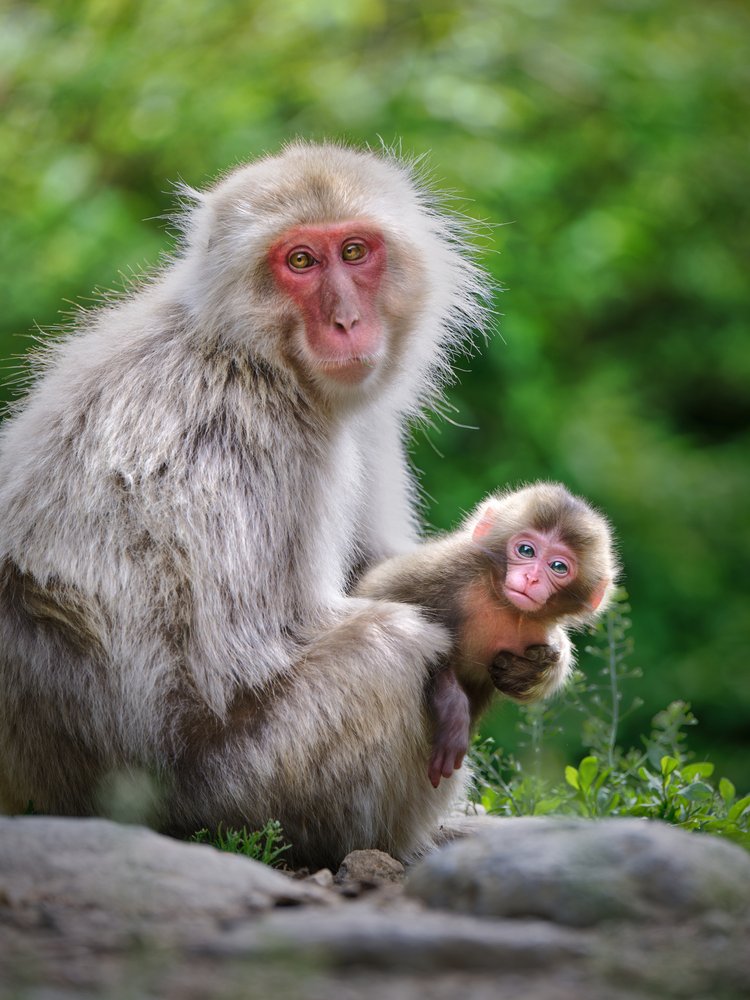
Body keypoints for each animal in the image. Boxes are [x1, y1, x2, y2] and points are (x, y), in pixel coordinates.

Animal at [0, 141, 492, 870]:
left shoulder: (359, 421)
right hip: (230, 797)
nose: (347, 322)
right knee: (392, 649)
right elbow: (244, 660)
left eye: (354, 252)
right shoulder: (247, 439)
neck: (256, 356)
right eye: (300, 262)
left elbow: (374, 569)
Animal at [356, 482, 619, 788]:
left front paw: (528, 671)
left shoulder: (536, 632)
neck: (502, 602)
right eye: (526, 550)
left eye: (558, 567)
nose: (531, 578)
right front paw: (452, 706)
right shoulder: (440, 571)